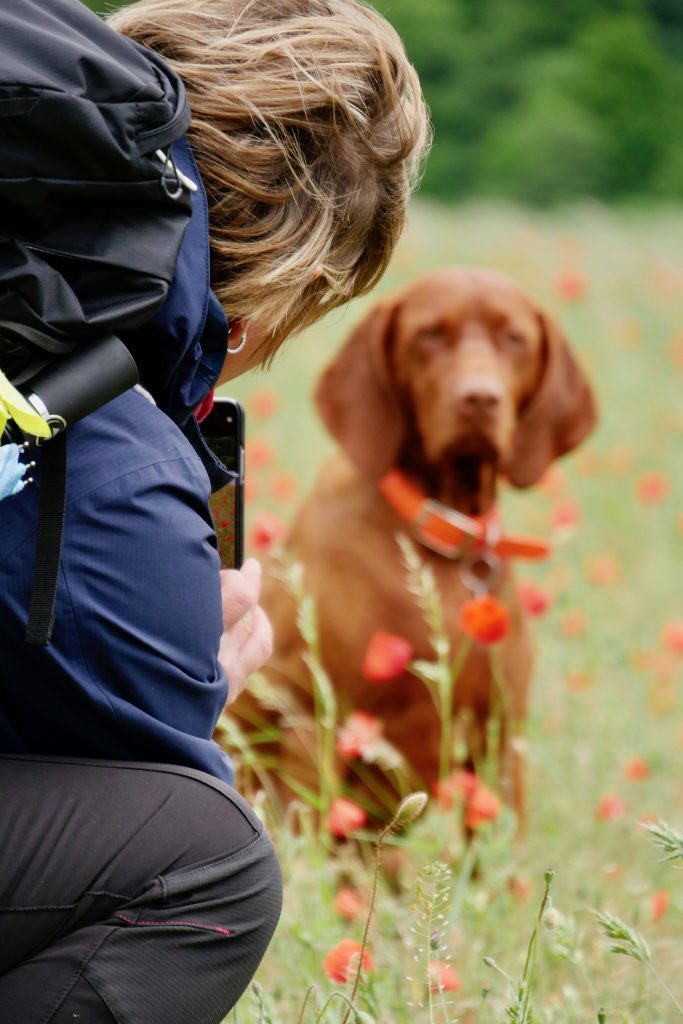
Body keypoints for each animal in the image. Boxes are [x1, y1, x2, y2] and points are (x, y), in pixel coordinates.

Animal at [236, 266, 598, 823]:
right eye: (429, 335)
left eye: (514, 338)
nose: (479, 399)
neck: (441, 540)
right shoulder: (316, 724)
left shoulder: (500, 745)